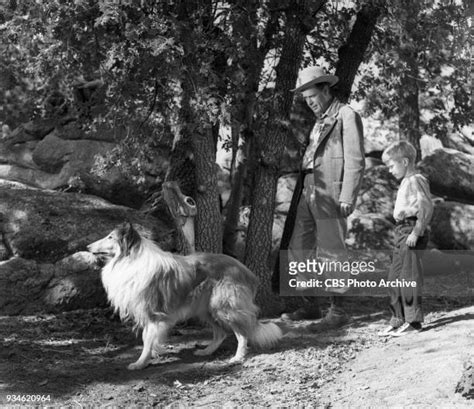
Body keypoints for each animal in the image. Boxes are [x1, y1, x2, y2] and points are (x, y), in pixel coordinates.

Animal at [87, 223, 282, 370]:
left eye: (110, 237)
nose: (87, 247)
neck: (130, 259)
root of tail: (248, 272)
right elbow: (148, 338)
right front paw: (152, 355)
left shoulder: (153, 313)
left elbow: (147, 339)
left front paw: (140, 363)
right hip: (206, 308)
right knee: (221, 333)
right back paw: (205, 352)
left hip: (224, 306)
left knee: (242, 333)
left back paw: (237, 357)